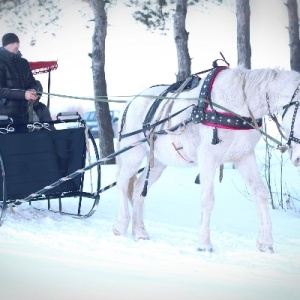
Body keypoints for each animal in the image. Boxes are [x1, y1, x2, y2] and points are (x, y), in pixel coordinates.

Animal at [112, 67, 300, 252]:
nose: (298, 159)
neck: (238, 104)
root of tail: (131, 102)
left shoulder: (244, 156)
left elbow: (260, 193)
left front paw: (265, 243)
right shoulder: (207, 158)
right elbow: (207, 199)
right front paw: (204, 244)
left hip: (158, 162)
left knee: (138, 188)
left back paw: (140, 231)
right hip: (132, 154)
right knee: (122, 182)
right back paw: (120, 225)